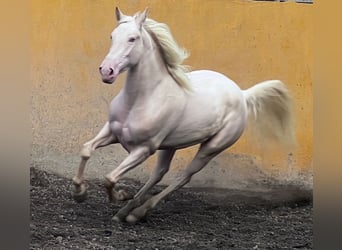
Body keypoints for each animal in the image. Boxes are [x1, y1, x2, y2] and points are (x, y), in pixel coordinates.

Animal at [71, 7, 294, 224]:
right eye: (112, 36)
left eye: (132, 38)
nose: (106, 71)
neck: (140, 99)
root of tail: (242, 94)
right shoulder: (112, 131)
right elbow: (86, 149)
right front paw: (80, 194)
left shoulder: (144, 149)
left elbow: (109, 178)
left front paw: (119, 195)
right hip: (170, 146)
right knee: (159, 174)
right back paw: (126, 211)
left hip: (211, 148)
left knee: (184, 177)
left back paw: (138, 212)